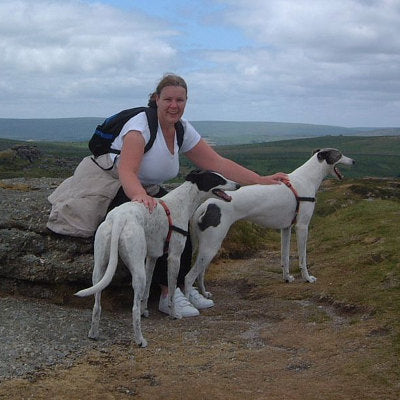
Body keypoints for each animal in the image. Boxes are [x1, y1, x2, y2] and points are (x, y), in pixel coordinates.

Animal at [74, 169, 239, 346]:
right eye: (217, 178)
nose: (238, 185)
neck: (181, 203)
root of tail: (120, 218)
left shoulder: (152, 257)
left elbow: (146, 292)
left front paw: (145, 310)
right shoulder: (174, 257)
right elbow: (172, 290)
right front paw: (174, 314)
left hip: (100, 268)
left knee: (97, 305)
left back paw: (93, 333)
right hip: (137, 270)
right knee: (133, 309)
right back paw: (140, 340)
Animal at [186, 149, 354, 300]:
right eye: (339, 154)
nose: (353, 161)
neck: (307, 178)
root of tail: (205, 205)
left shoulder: (286, 228)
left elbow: (285, 258)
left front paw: (287, 278)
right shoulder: (302, 227)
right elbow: (302, 258)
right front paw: (307, 278)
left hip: (206, 247)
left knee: (200, 274)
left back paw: (205, 294)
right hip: (211, 245)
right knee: (189, 277)